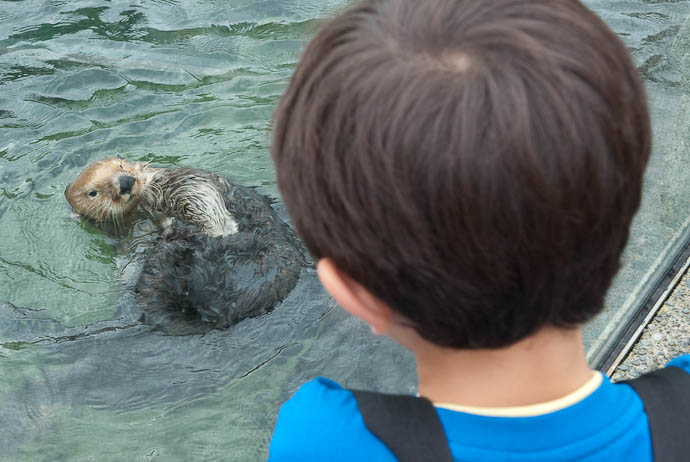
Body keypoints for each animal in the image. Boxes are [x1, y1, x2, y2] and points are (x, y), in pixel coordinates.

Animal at [65, 157, 304, 334]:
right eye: (93, 192)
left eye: (120, 166)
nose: (125, 182)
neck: (142, 212)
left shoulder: (178, 182)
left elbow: (197, 193)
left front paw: (216, 227)